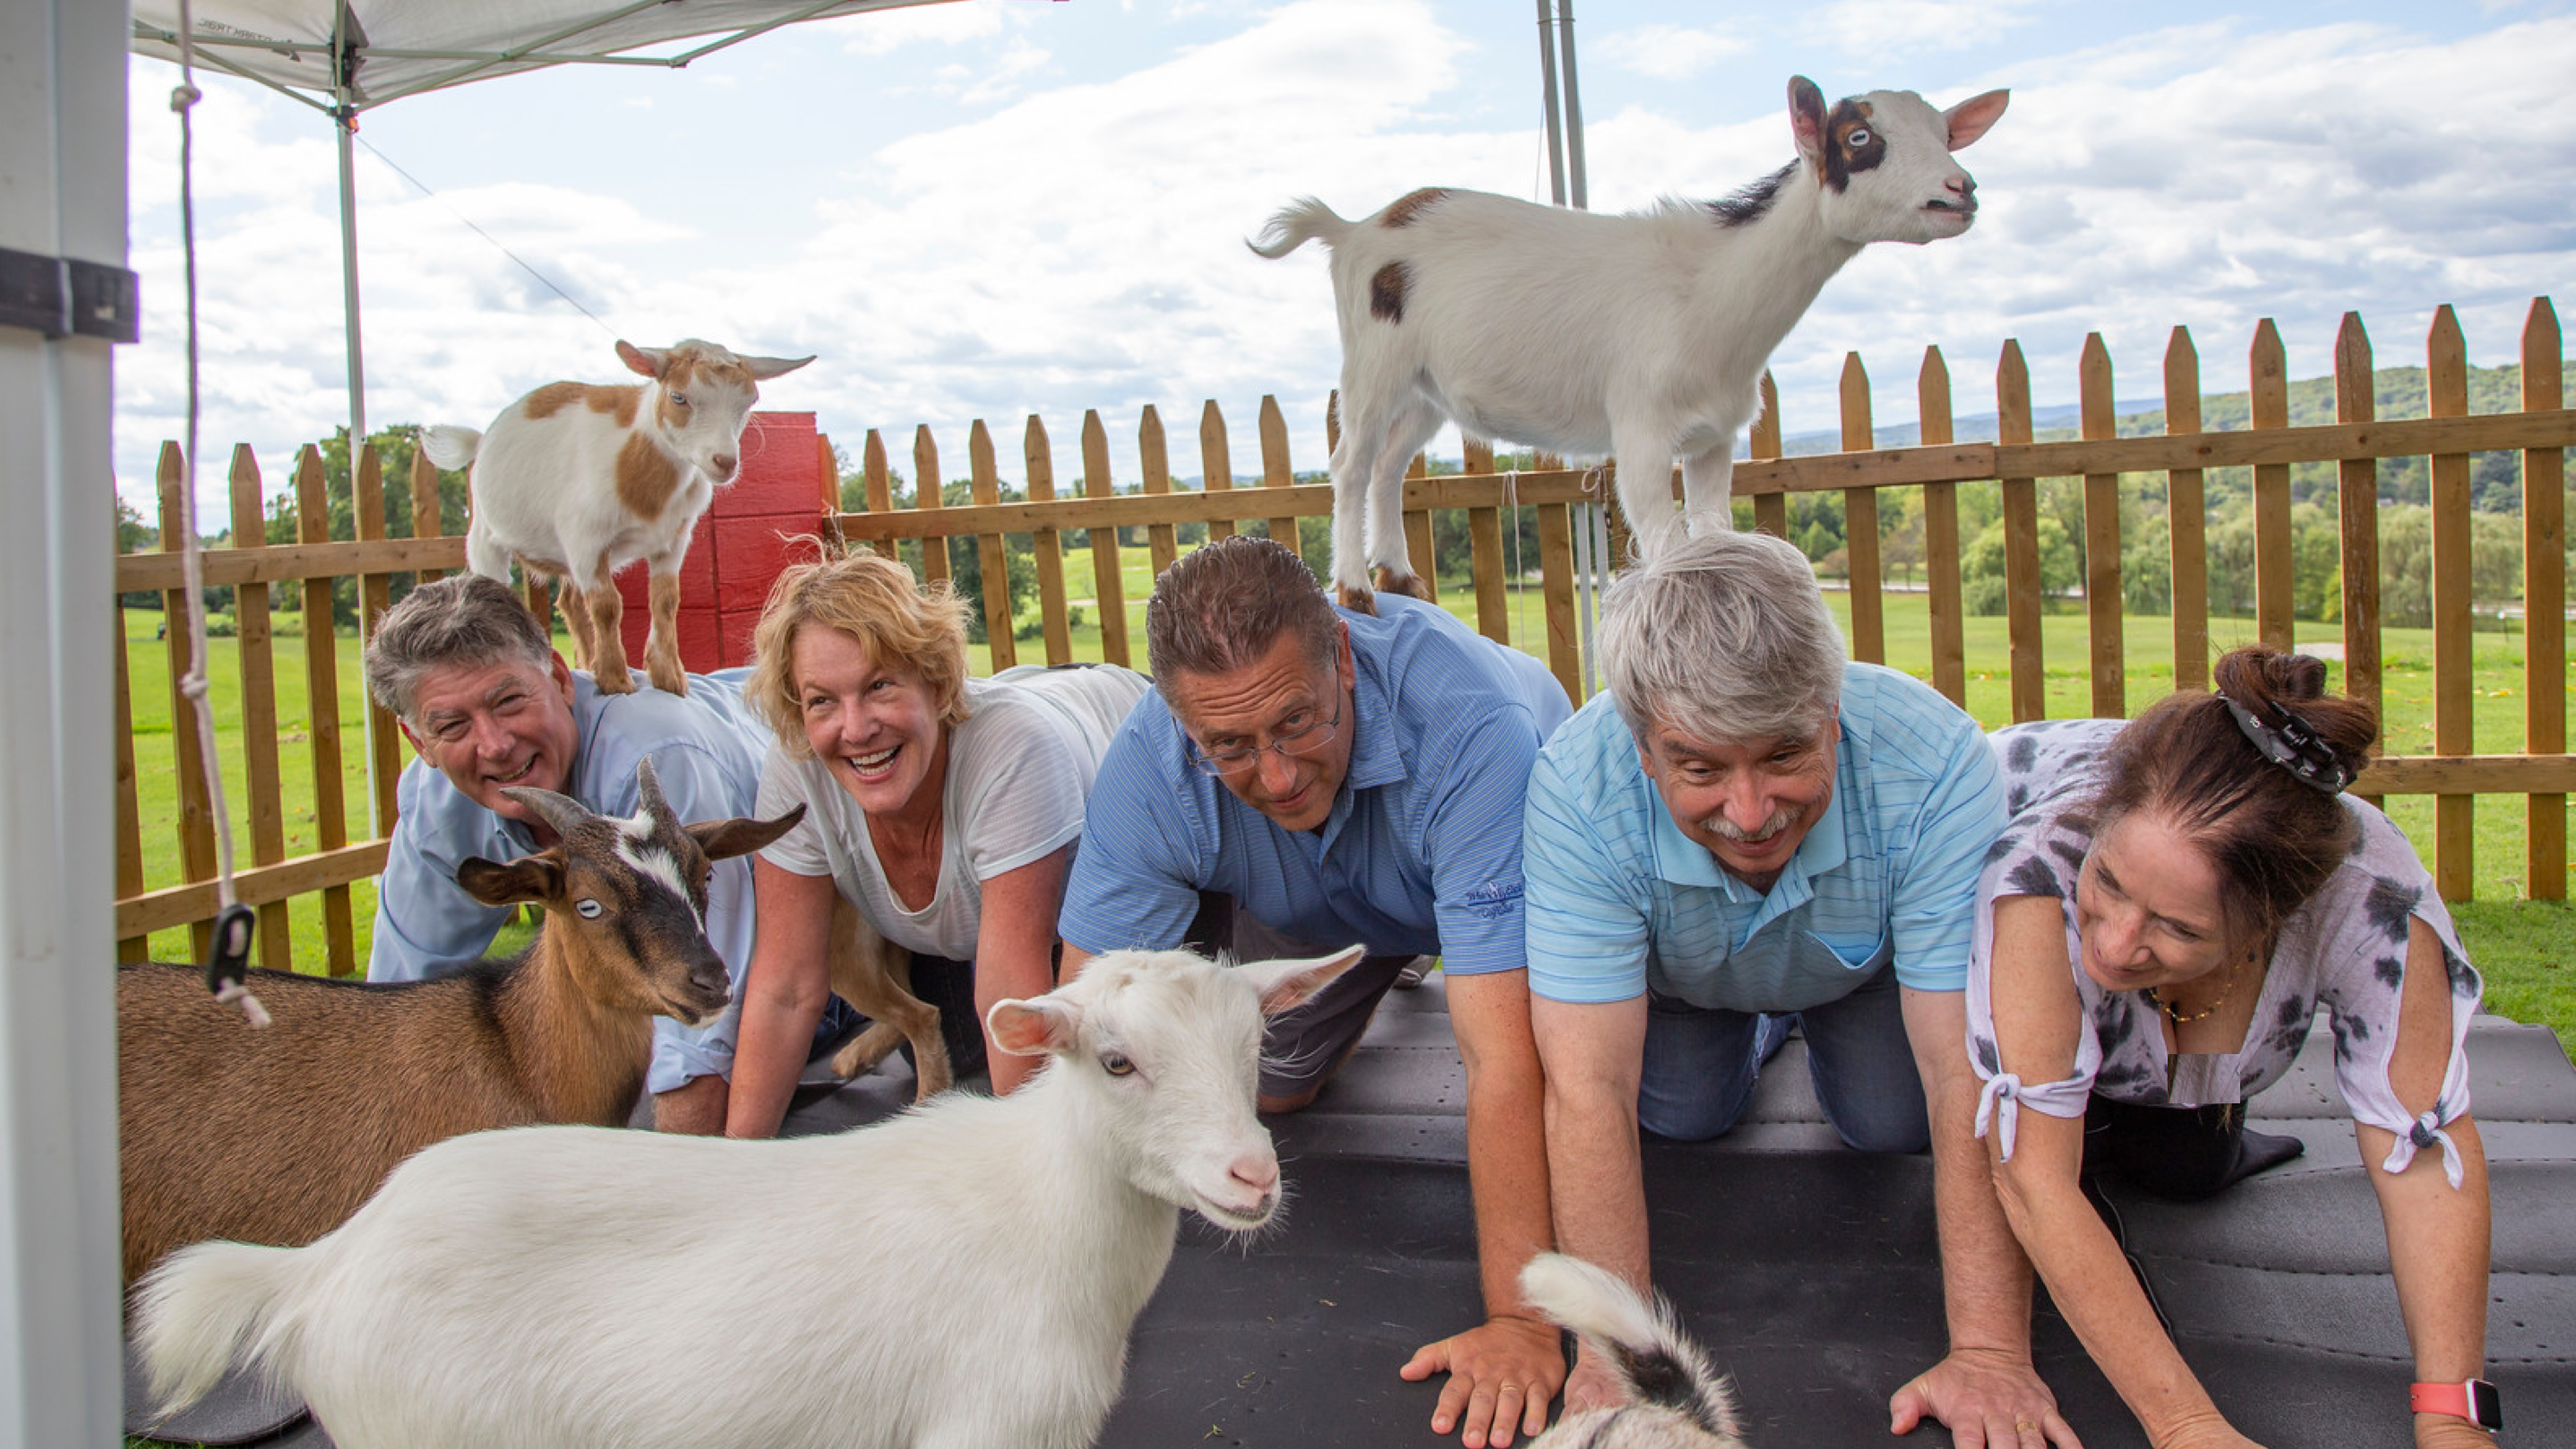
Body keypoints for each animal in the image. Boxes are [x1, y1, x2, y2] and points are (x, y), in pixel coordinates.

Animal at [134, 945, 1362, 1449]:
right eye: (1113, 1060)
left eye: (1255, 1044)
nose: (1250, 1175)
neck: (1039, 1215)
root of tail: (318, 1264)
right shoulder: (981, 1424)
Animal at [421, 339, 815, 696]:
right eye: (678, 397)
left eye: (749, 402)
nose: (724, 462)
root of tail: (480, 440)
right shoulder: (586, 539)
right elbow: (608, 605)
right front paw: (615, 680)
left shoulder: (674, 538)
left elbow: (666, 600)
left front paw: (668, 677)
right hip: (485, 536)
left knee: (572, 604)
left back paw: (585, 662)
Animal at [1250, 76, 2009, 610]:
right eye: (1857, 138)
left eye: (1945, 130)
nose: (1960, 190)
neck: (1711, 290)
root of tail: (1351, 230)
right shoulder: (1642, 429)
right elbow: (1670, 547)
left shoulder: (1713, 439)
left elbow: (1712, 533)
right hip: (1373, 360)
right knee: (1350, 462)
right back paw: (1356, 589)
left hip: (1426, 385)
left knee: (1389, 465)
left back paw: (1401, 578)